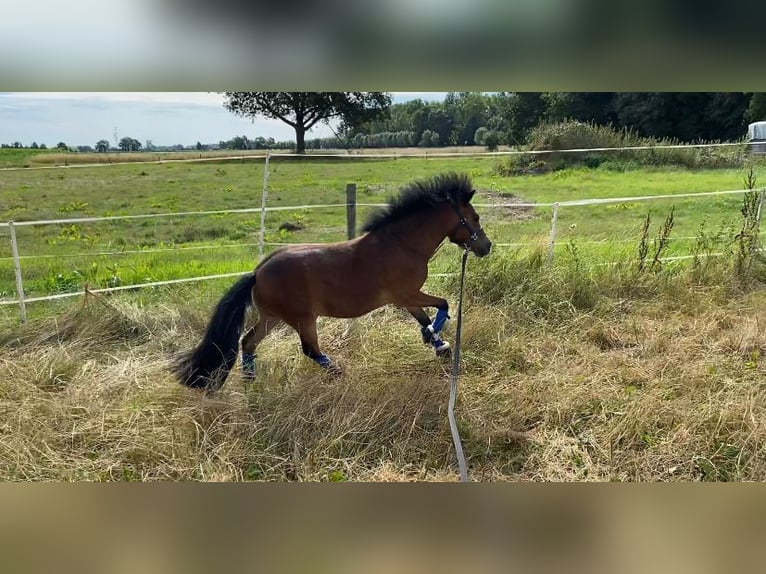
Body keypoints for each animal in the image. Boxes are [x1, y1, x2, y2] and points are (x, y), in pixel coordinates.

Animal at [176, 172, 492, 392]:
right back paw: (338, 372)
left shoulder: (404, 299)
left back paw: (251, 382)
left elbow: (424, 318)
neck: (401, 244)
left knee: (248, 342)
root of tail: (257, 273)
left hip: (272, 317)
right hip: (302, 318)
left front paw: (438, 344)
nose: (486, 246)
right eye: (475, 217)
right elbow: (443, 305)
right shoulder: (408, 293)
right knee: (309, 350)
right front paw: (438, 338)